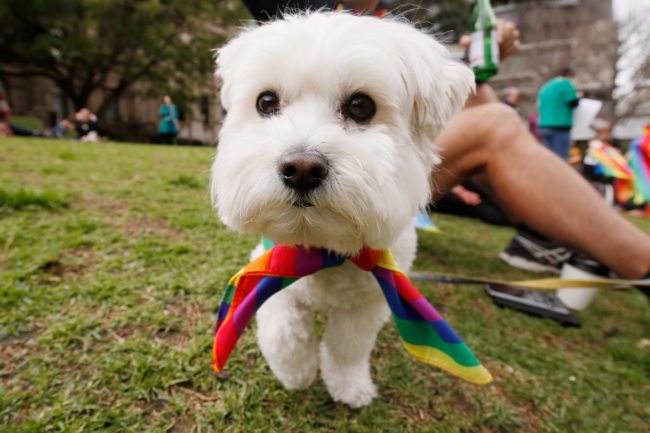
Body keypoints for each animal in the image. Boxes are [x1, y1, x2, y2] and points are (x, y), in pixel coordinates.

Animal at [211, 12, 474, 408]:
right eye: (266, 102)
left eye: (361, 106)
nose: (301, 169)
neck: (323, 249)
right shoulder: (269, 266)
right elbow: (283, 331)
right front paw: (297, 372)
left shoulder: (369, 301)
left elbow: (348, 346)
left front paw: (350, 387)